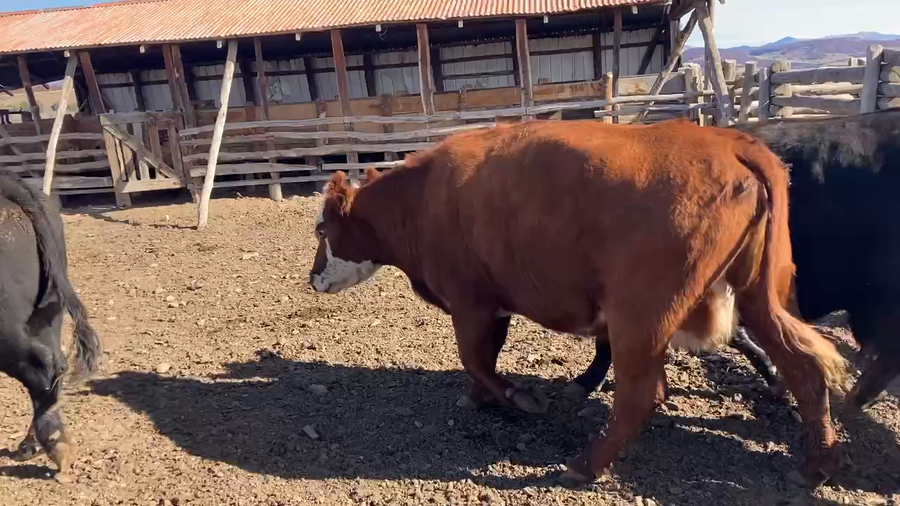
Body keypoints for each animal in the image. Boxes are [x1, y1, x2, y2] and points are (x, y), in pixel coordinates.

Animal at [308, 118, 848, 487]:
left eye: (320, 229)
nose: (312, 279)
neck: (423, 197)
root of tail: (730, 143)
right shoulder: (493, 302)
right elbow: (482, 360)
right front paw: (481, 398)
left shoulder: (471, 301)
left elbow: (475, 359)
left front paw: (517, 398)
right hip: (760, 296)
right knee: (803, 369)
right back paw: (815, 464)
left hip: (640, 315)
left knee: (640, 395)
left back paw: (584, 465)